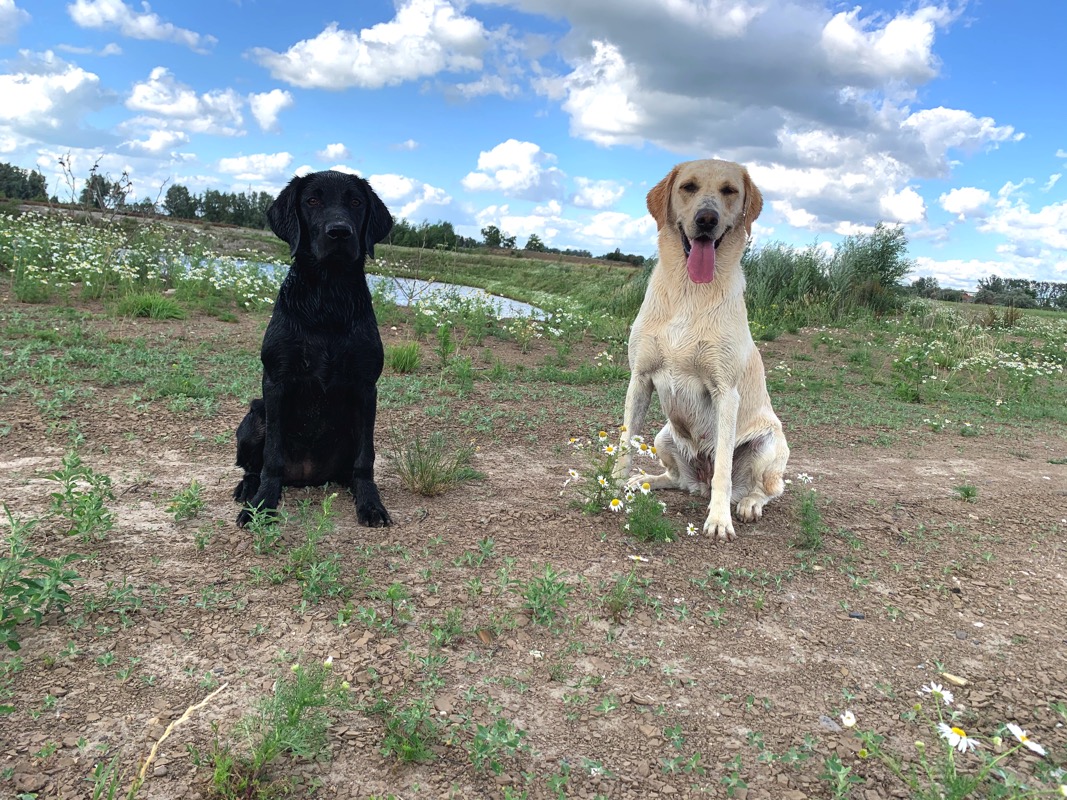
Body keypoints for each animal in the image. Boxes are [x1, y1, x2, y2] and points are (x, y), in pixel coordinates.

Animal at [234, 170, 394, 528]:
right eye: (311, 200)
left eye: (356, 202)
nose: (339, 232)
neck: (328, 299)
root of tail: (307, 477)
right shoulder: (275, 381)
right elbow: (272, 457)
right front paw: (262, 505)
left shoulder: (366, 387)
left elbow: (366, 459)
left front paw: (370, 503)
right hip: (255, 414)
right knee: (253, 468)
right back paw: (247, 490)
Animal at [613, 159, 789, 542]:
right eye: (688, 187)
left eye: (730, 190)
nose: (706, 219)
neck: (689, 291)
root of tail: (700, 483)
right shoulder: (640, 379)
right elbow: (624, 442)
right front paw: (612, 484)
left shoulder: (726, 392)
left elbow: (723, 465)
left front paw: (719, 520)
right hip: (664, 435)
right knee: (677, 479)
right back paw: (645, 481)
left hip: (769, 444)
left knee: (769, 488)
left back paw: (747, 504)